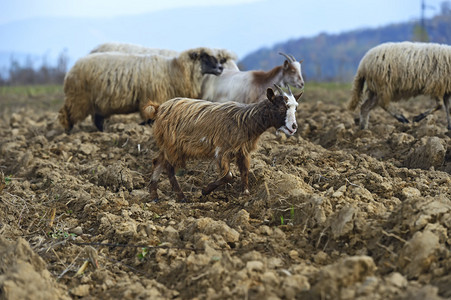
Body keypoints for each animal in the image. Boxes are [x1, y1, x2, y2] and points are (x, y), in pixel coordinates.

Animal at [59, 47, 230, 131]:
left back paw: (103, 132)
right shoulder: (152, 97)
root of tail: (71, 70)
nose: (221, 68)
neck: (172, 70)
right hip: (79, 98)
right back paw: (67, 132)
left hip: (98, 104)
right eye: (205, 56)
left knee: (97, 120)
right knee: (67, 114)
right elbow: (149, 119)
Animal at [145, 84, 304, 202]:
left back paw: (154, 196)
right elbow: (229, 175)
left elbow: (244, 171)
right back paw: (181, 197)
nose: (294, 127)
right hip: (173, 145)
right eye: (281, 107)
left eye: (296, 108)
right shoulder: (221, 150)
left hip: (168, 145)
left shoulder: (242, 151)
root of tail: (159, 108)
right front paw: (204, 190)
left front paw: (245, 194)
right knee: (169, 167)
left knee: (157, 161)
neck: (244, 121)